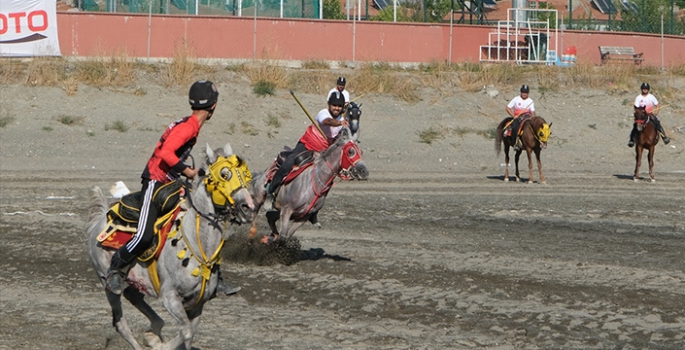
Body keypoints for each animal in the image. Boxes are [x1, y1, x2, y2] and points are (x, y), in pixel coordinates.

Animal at [85, 143, 255, 350]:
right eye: (224, 174)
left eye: (245, 174)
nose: (249, 207)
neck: (198, 243)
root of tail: (100, 220)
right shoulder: (170, 298)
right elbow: (186, 331)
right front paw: (159, 345)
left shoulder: (198, 303)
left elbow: (189, 334)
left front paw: (154, 338)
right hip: (106, 282)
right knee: (121, 323)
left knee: (133, 296)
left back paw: (154, 330)